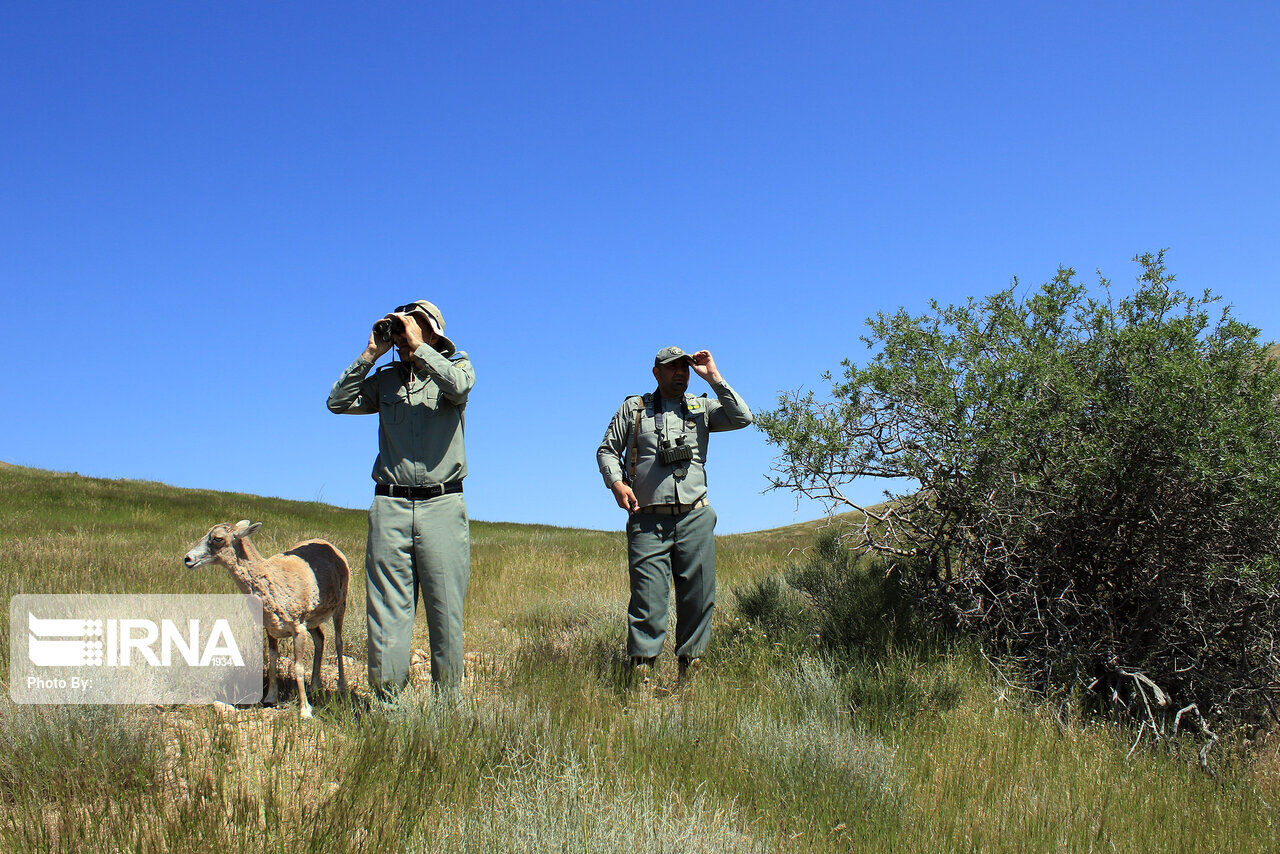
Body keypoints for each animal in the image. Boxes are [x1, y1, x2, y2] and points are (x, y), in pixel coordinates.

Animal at [183, 522, 348, 717]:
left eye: (217, 538)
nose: (188, 559)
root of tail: (332, 548)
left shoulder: (298, 629)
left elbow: (298, 667)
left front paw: (305, 711)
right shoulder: (271, 630)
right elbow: (272, 662)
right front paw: (270, 698)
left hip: (340, 607)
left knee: (338, 642)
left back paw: (342, 686)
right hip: (312, 621)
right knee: (320, 639)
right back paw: (315, 686)